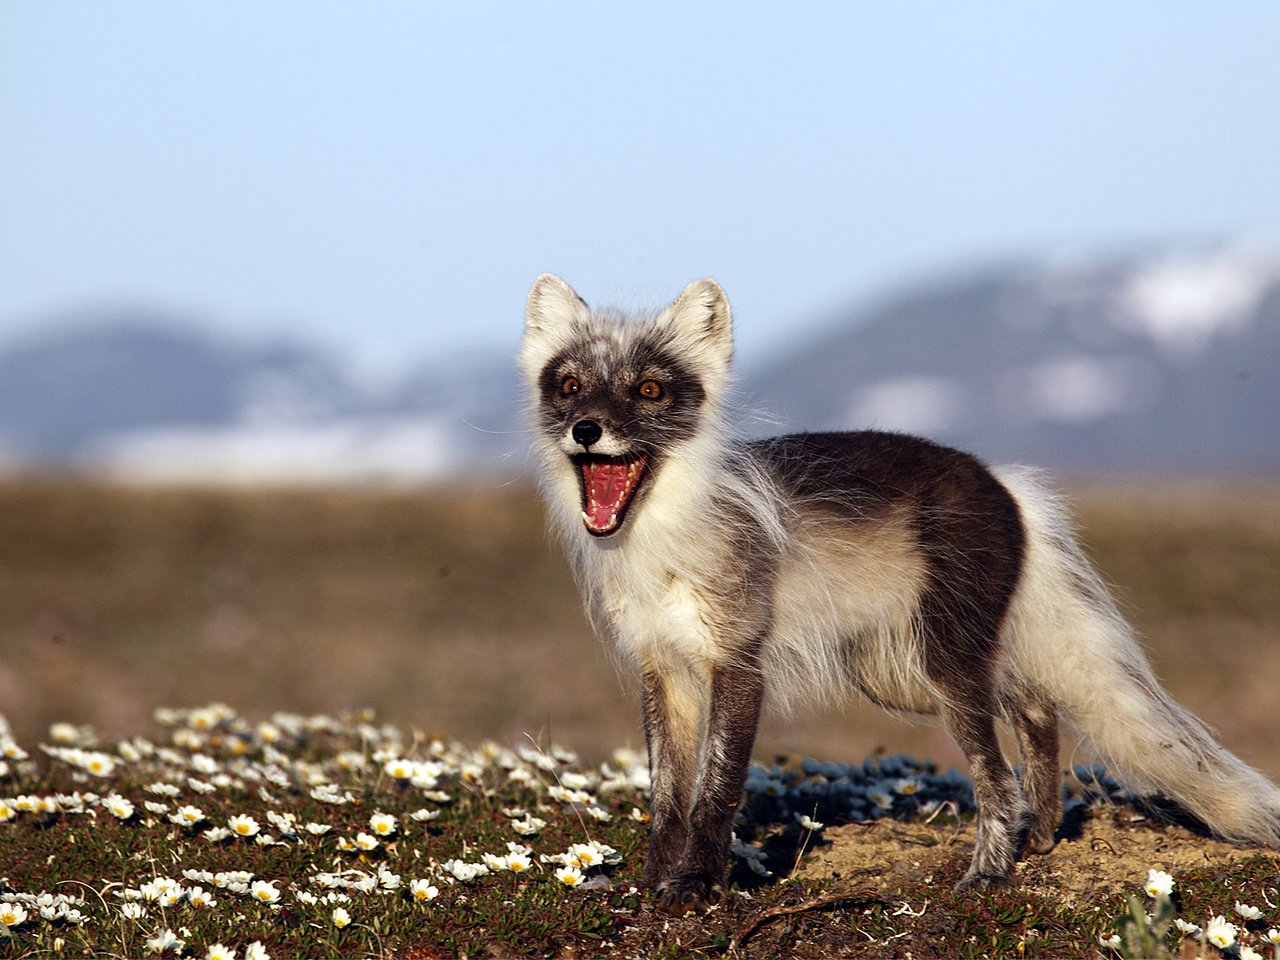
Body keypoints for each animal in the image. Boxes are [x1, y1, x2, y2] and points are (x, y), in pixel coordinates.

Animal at [517, 273, 1280, 921]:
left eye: (649, 390)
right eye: (569, 385)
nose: (585, 429)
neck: (663, 543)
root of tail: (1006, 483)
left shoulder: (737, 661)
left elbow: (716, 790)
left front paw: (697, 886)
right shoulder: (664, 669)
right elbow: (666, 796)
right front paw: (653, 883)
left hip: (940, 661)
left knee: (997, 775)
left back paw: (990, 870)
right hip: (908, 671)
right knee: (1037, 711)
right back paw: (1038, 839)